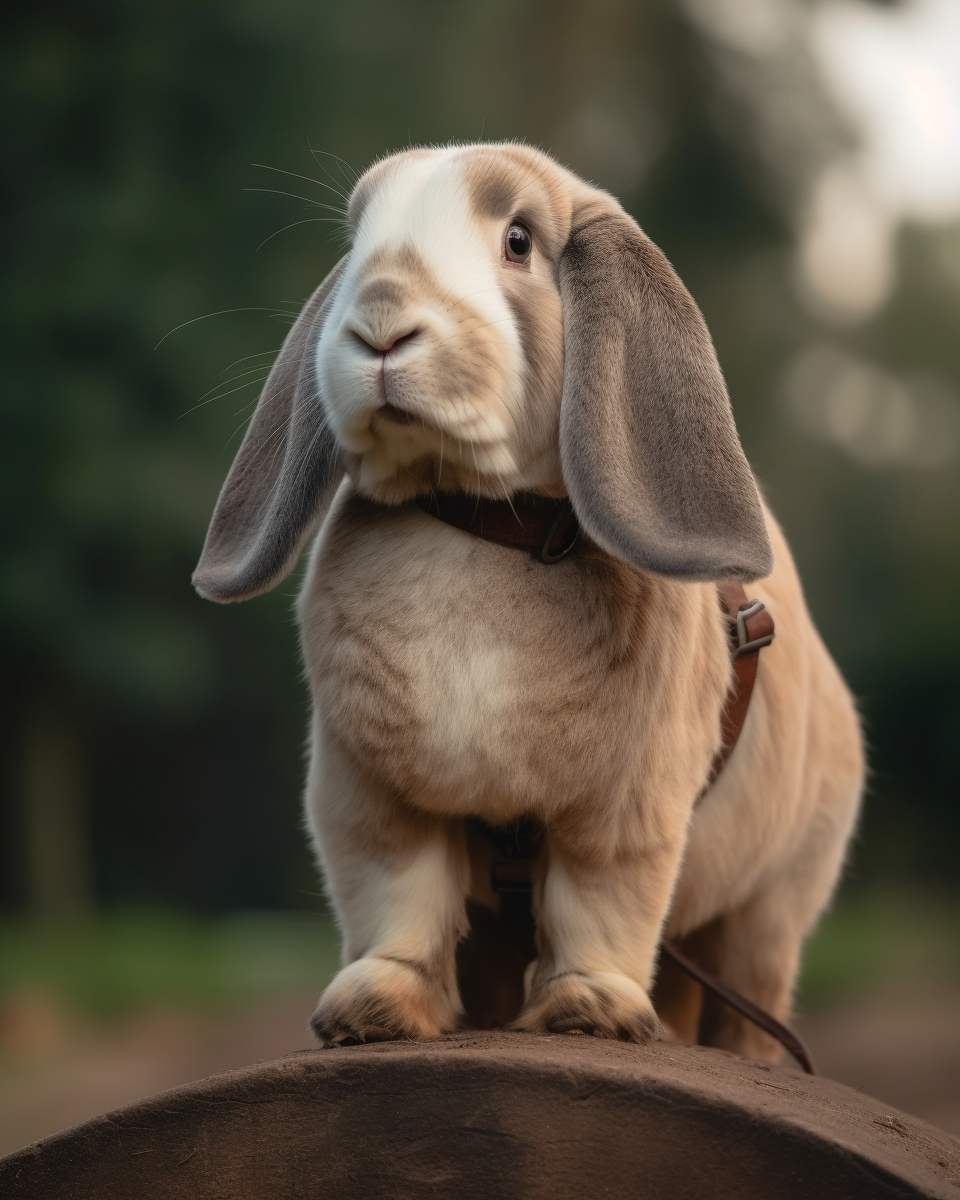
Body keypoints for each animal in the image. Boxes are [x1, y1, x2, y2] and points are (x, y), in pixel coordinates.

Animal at [193, 142, 864, 1060]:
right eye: (358, 239)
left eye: (518, 241)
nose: (379, 326)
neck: (486, 528)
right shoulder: (367, 795)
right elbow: (395, 894)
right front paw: (370, 1010)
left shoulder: (623, 808)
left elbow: (600, 900)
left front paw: (591, 1012)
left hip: (768, 912)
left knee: (743, 986)